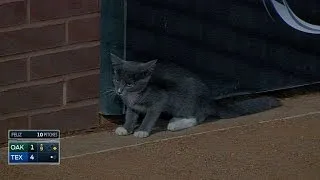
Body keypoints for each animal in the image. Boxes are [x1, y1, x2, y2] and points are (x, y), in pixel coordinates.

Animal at [110, 53, 280, 138]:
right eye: (117, 80)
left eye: (129, 84)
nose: (119, 91)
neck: (134, 95)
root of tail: (209, 101)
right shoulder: (131, 106)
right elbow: (130, 115)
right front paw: (126, 128)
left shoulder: (159, 99)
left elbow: (150, 116)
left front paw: (142, 131)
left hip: (183, 100)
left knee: (197, 118)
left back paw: (175, 124)